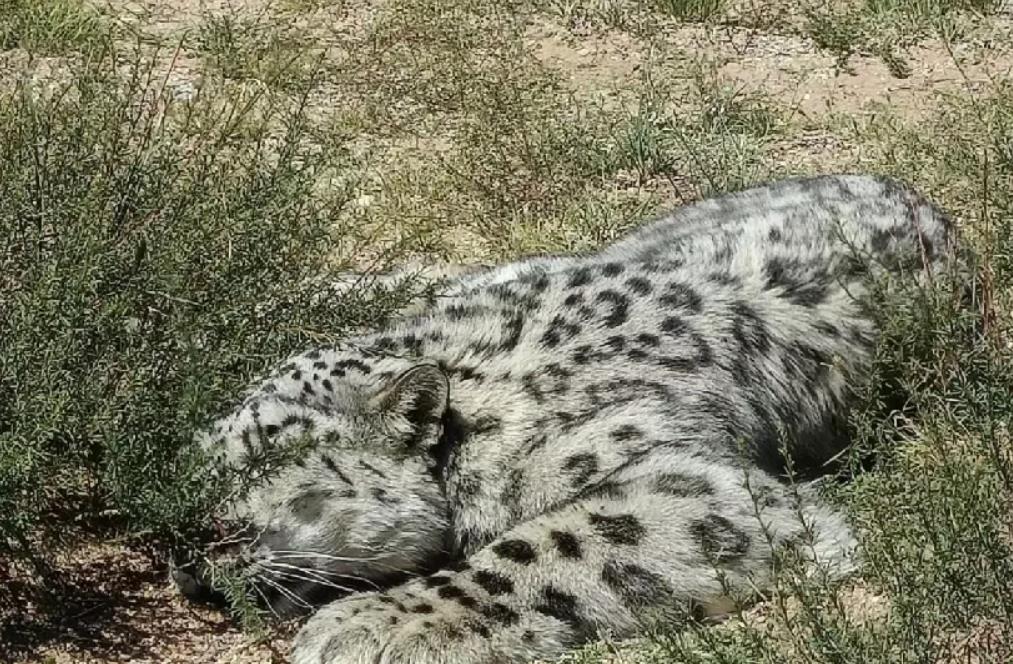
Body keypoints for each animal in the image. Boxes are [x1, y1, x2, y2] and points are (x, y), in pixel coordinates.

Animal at [175, 174, 960, 664]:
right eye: (202, 459)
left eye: (267, 459)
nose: (187, 552)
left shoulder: (693, 486)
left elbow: (542, 546)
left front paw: (371, 623)